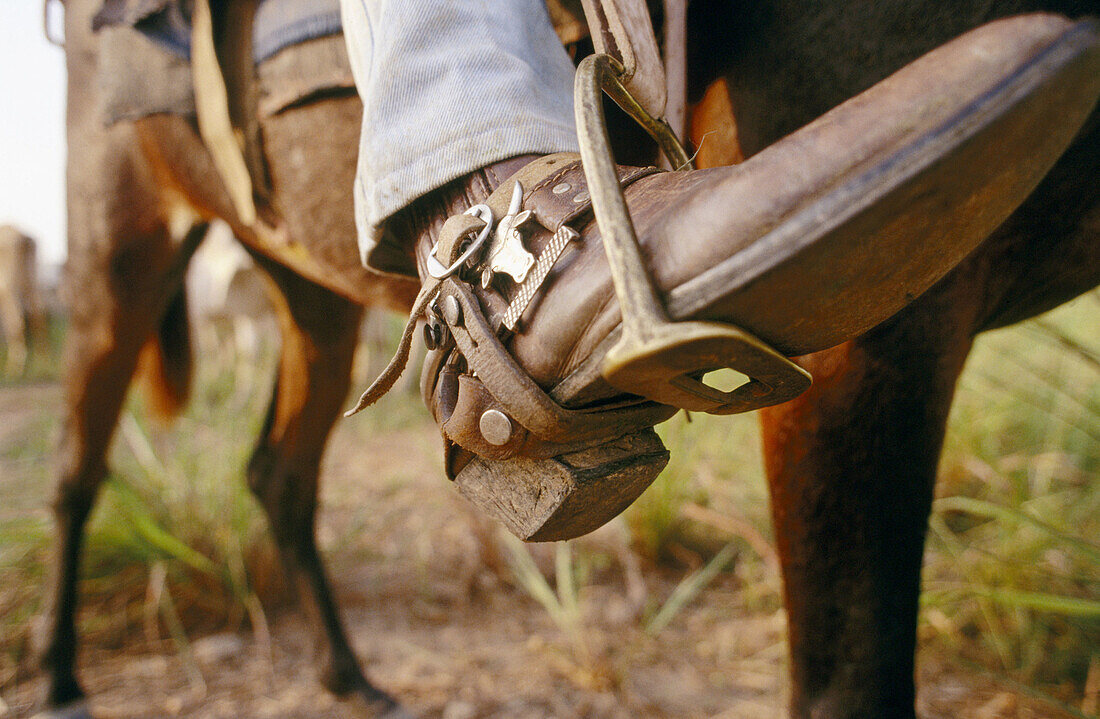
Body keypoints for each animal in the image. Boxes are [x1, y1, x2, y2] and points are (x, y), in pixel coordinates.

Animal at [38, 1, 1095, 719]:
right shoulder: (871, 355)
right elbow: (851, 677)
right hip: (119, 258)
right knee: (79, 475)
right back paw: (58, 674)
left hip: (308, 299)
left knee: (279, 475)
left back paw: (349, 676)